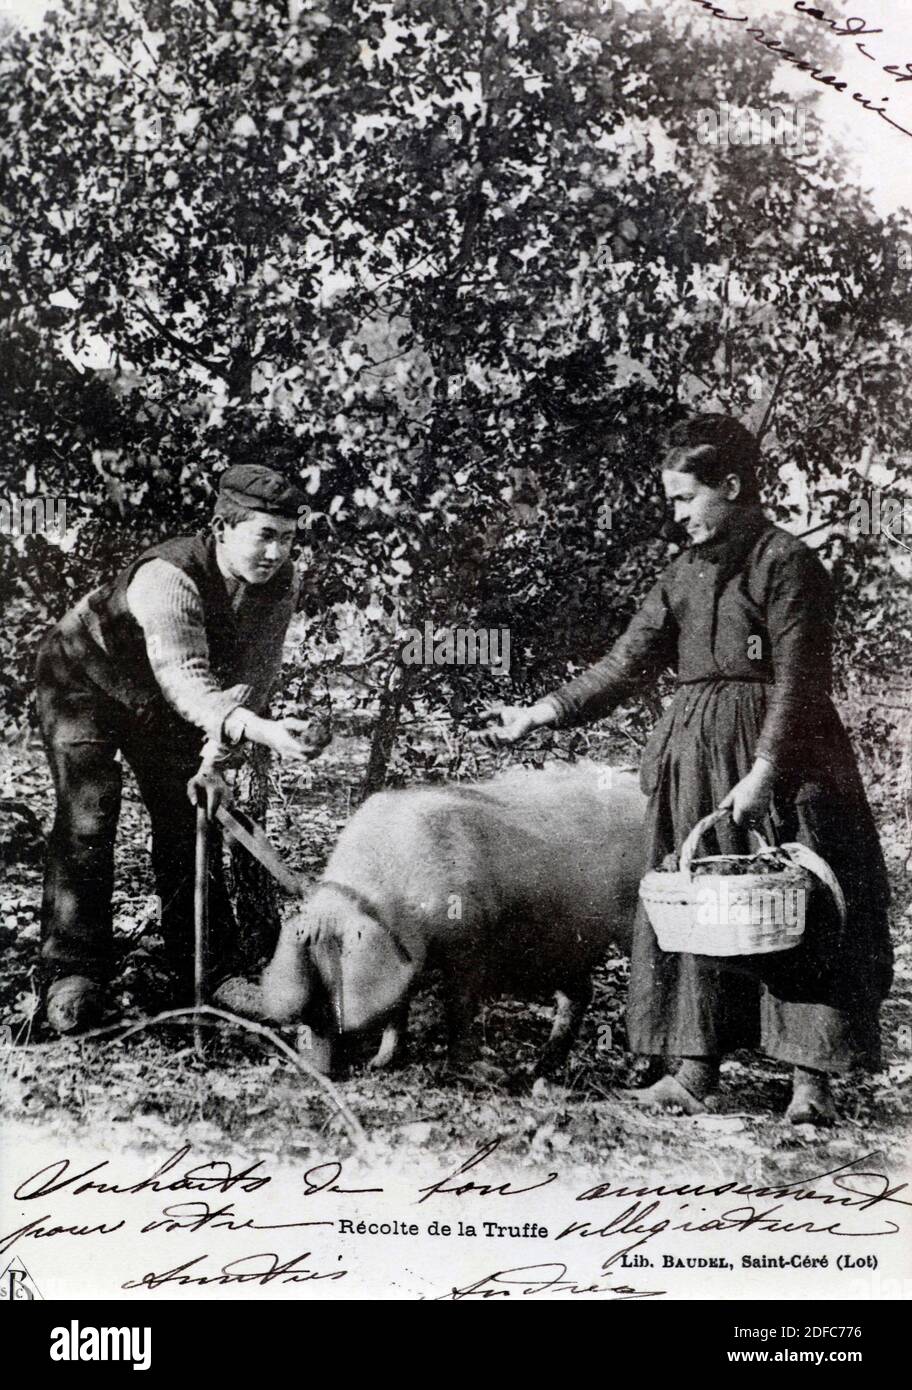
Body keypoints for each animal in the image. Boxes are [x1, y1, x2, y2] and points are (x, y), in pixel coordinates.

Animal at [258, 761, 647, 1073]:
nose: (313, 1071)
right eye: (306, 1012)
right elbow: (398, 1009)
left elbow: (457, 1007)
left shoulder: (470, 941)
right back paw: (539, 1069)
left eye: (329, 1004)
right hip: (566, 941)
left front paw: (467, 1070)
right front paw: (380, 1063)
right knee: (580, 994)